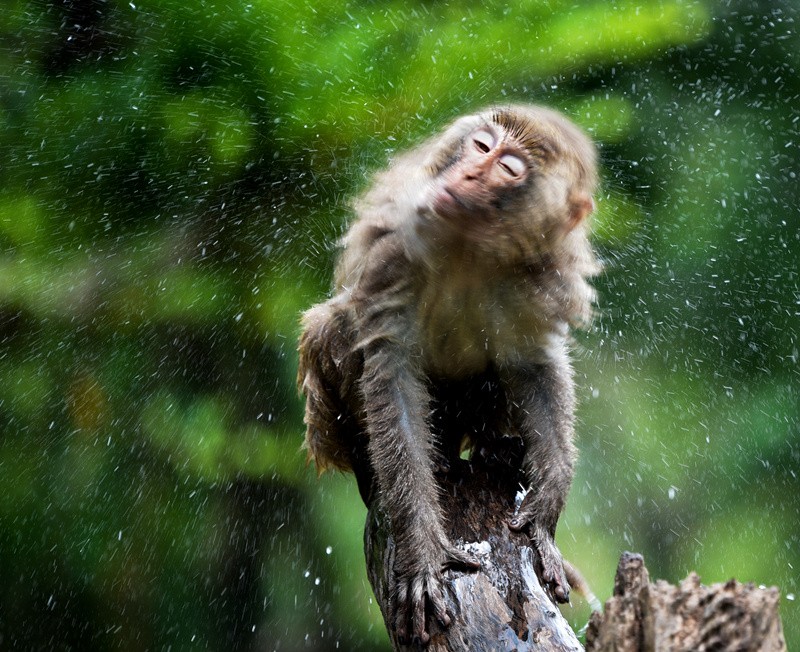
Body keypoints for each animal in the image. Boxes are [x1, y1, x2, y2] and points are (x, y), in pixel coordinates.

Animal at [296, 104, 596, 644]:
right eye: (481, 147)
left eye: (509, 169)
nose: (471, 174)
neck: (469, 246)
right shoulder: (396, 246)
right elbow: (390, 370)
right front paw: (423, 555)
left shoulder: (541, 275)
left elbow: (535, 361)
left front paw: (545, 515)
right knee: (331, 329)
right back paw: (380, 474)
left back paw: (497, 451)